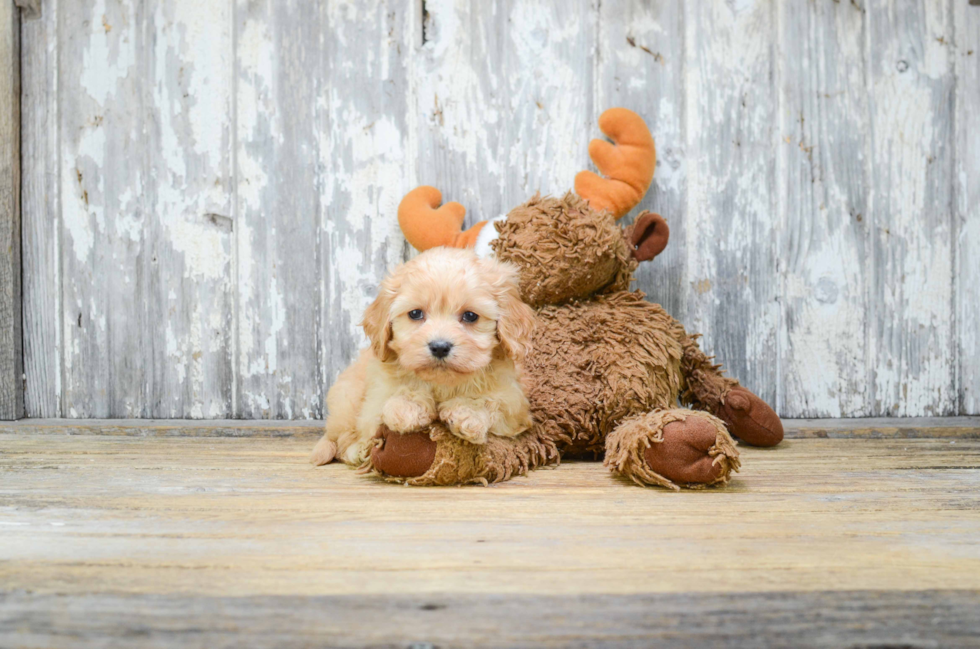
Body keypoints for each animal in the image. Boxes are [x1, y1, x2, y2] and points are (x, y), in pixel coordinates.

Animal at [312, 247, 536, 466]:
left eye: (470, 316)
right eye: (415, 314)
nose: (440, 347)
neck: (441, 383)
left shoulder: (514, 405)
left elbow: (492, 403)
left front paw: (467, 413)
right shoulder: (374, 402)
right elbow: (393, 399)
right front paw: (408, 407)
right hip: (347, 401)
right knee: (340, 440)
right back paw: (358, 451)